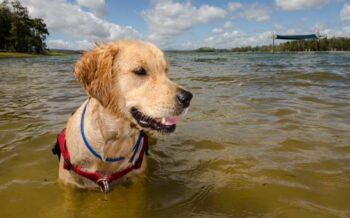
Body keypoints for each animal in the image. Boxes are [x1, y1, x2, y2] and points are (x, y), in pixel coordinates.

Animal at [57, 40, 193, 192]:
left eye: (166, 71)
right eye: (140, 71)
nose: (187, 98)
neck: (113, 141)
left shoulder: (138, 178)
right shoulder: (69, 185)